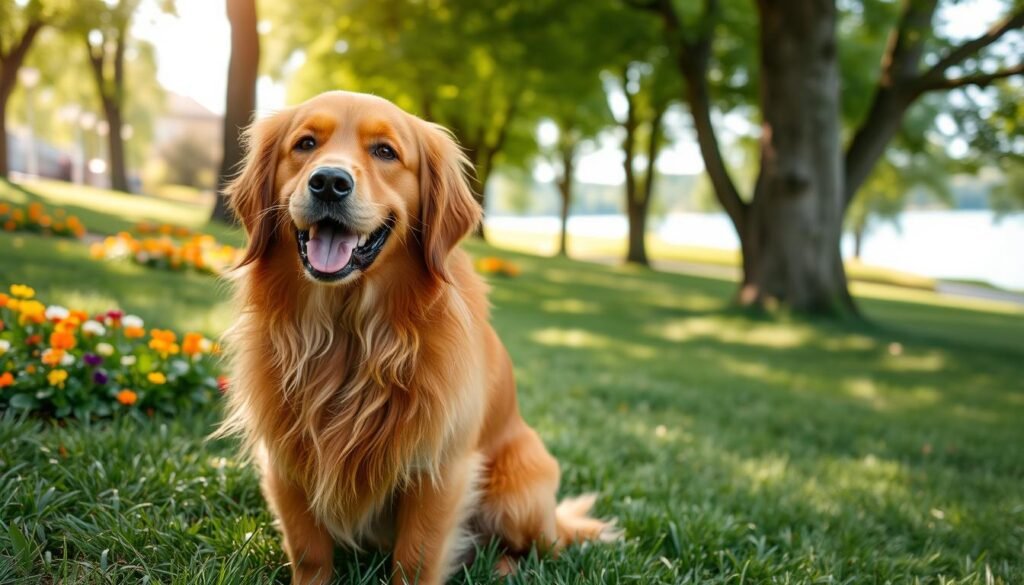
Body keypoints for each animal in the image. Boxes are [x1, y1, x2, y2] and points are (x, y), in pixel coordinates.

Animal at [216, 89, 614, 581]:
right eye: (305, 144)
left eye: (385, 152)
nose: (328, 182)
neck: (348, 334)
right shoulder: (285, 458)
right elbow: (309, 551)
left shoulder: (439, 468)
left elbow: (416, 557)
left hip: (521, 489)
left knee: (542, 548)